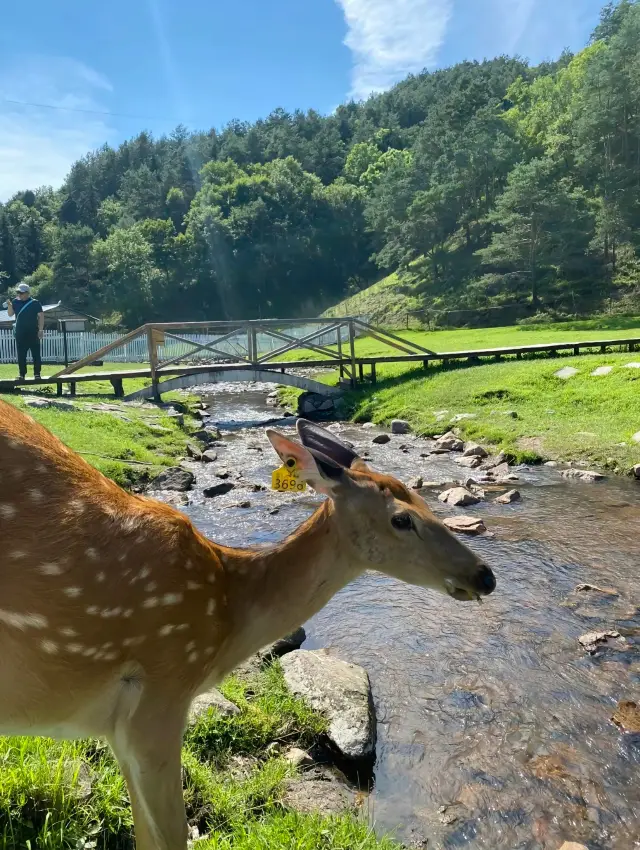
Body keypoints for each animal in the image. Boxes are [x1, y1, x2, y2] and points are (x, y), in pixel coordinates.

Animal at [0, 400, 496, 844]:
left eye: (423, 498)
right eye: (402, 519)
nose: (484, 575)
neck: (227, 615)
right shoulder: (159, 694)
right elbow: (169, 837)